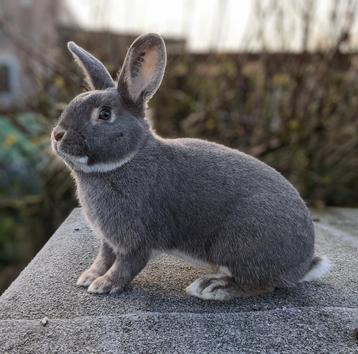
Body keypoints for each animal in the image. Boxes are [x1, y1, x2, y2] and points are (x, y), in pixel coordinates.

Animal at [51, 33, 332, 300]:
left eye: (105, 114)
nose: (57, 135)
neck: (126, 160)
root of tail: (302, 265)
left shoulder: (136, 239)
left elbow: (126, 266)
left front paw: (103, 286)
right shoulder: (109, 240)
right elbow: (104, 258)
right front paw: (88, 277)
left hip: (238, 244)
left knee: (259, 285)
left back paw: (212, 287)